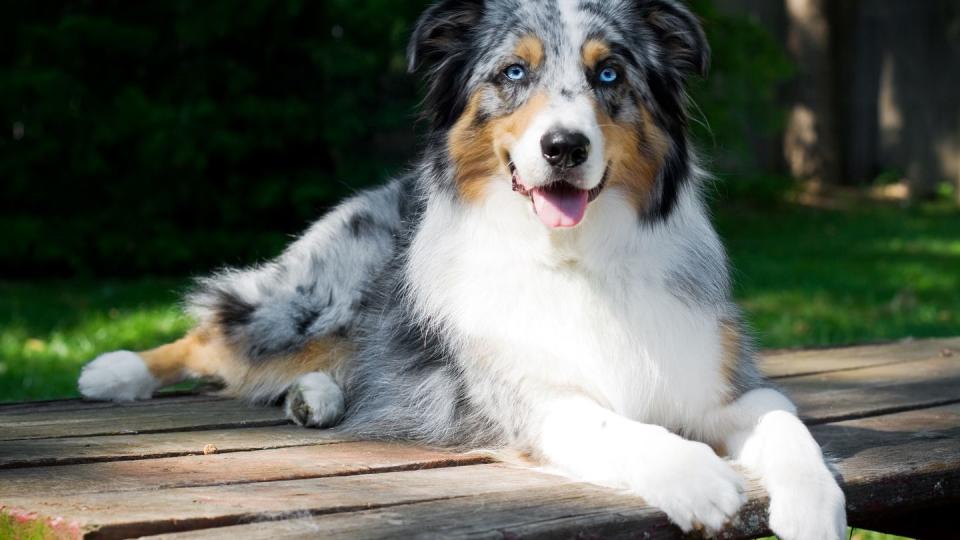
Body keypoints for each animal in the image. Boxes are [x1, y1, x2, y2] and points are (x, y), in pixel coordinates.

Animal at [80, 0, 848, 536]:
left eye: (609, 73)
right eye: (514, 72)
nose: (564, 147)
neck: (576, 259)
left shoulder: (721, 385)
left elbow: (785, 421)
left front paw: (815, 507)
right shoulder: (527, 402)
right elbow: (618, 427)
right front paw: (697, 477)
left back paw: (316, 397)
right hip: (313, 302)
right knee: (219, 330)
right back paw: (116, 370)